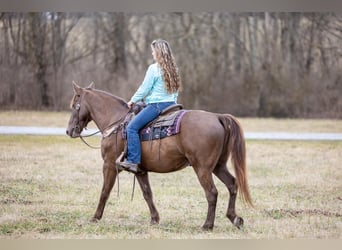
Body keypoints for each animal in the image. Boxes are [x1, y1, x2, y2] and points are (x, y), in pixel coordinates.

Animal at [67, 82, 252, 230]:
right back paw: (235, 218)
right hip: (218, 166)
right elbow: (147, 193)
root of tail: (217, 117)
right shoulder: (140, 170)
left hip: (203, 169)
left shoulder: (110, 165)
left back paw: (207, 225)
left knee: (212, 193)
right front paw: (154, 219)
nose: (69, 131)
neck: (116, 122)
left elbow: (105, 191)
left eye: (75, 105)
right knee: (232, 184)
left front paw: (95, 217)